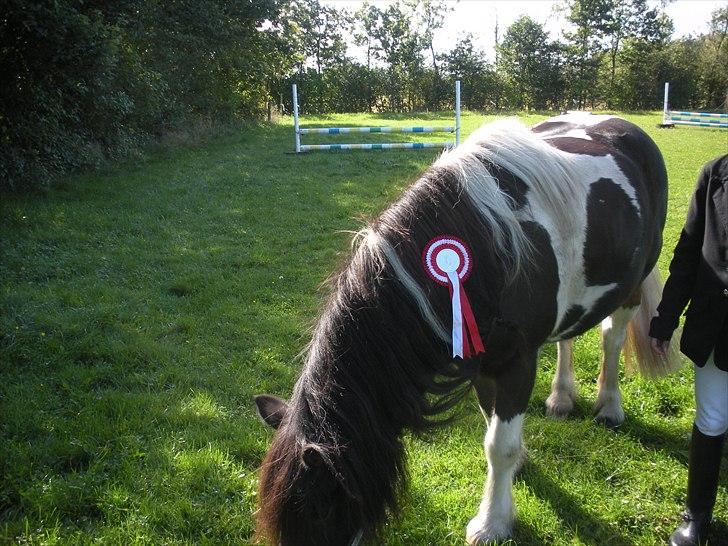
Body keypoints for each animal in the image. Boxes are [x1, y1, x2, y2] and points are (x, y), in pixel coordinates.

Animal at [253, 112, 680, 540]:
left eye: (321, 510)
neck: (489, 249)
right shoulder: (478, 361)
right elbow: (493, 428)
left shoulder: (515, 363)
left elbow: (499, 446)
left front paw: (492, 521)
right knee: (567, 339)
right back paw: (560, 398)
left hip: (633, 285)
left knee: (612, 337)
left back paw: (609, 405)